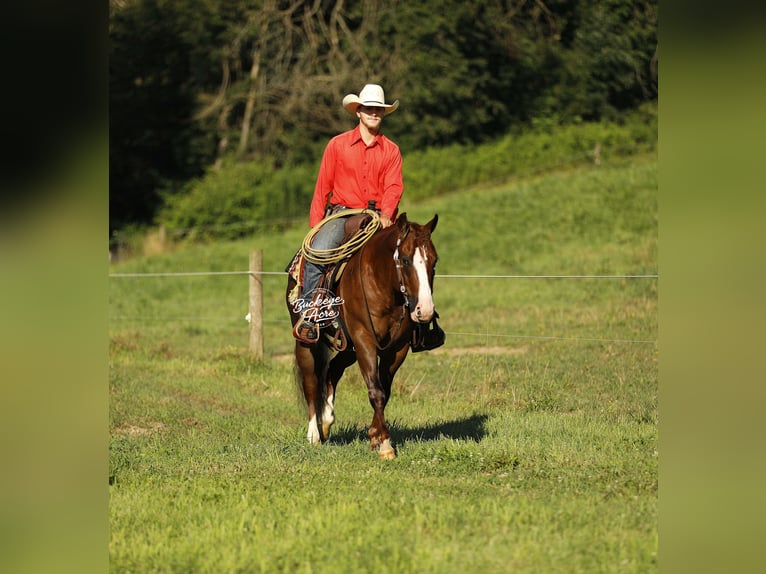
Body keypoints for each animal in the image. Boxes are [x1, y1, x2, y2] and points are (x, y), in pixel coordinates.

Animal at [285, 213, 439, 459]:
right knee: (310, 381)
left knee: (333, 369)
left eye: (434, 261)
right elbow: (376, 391)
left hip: (348, 347)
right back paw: (313, 435)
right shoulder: (364, 339)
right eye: (405, 260)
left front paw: (375, 436)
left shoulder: (397, 348)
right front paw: (385, 445)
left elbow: (384, 390)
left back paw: (327, 420)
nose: (424, 311)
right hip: (307, 342)